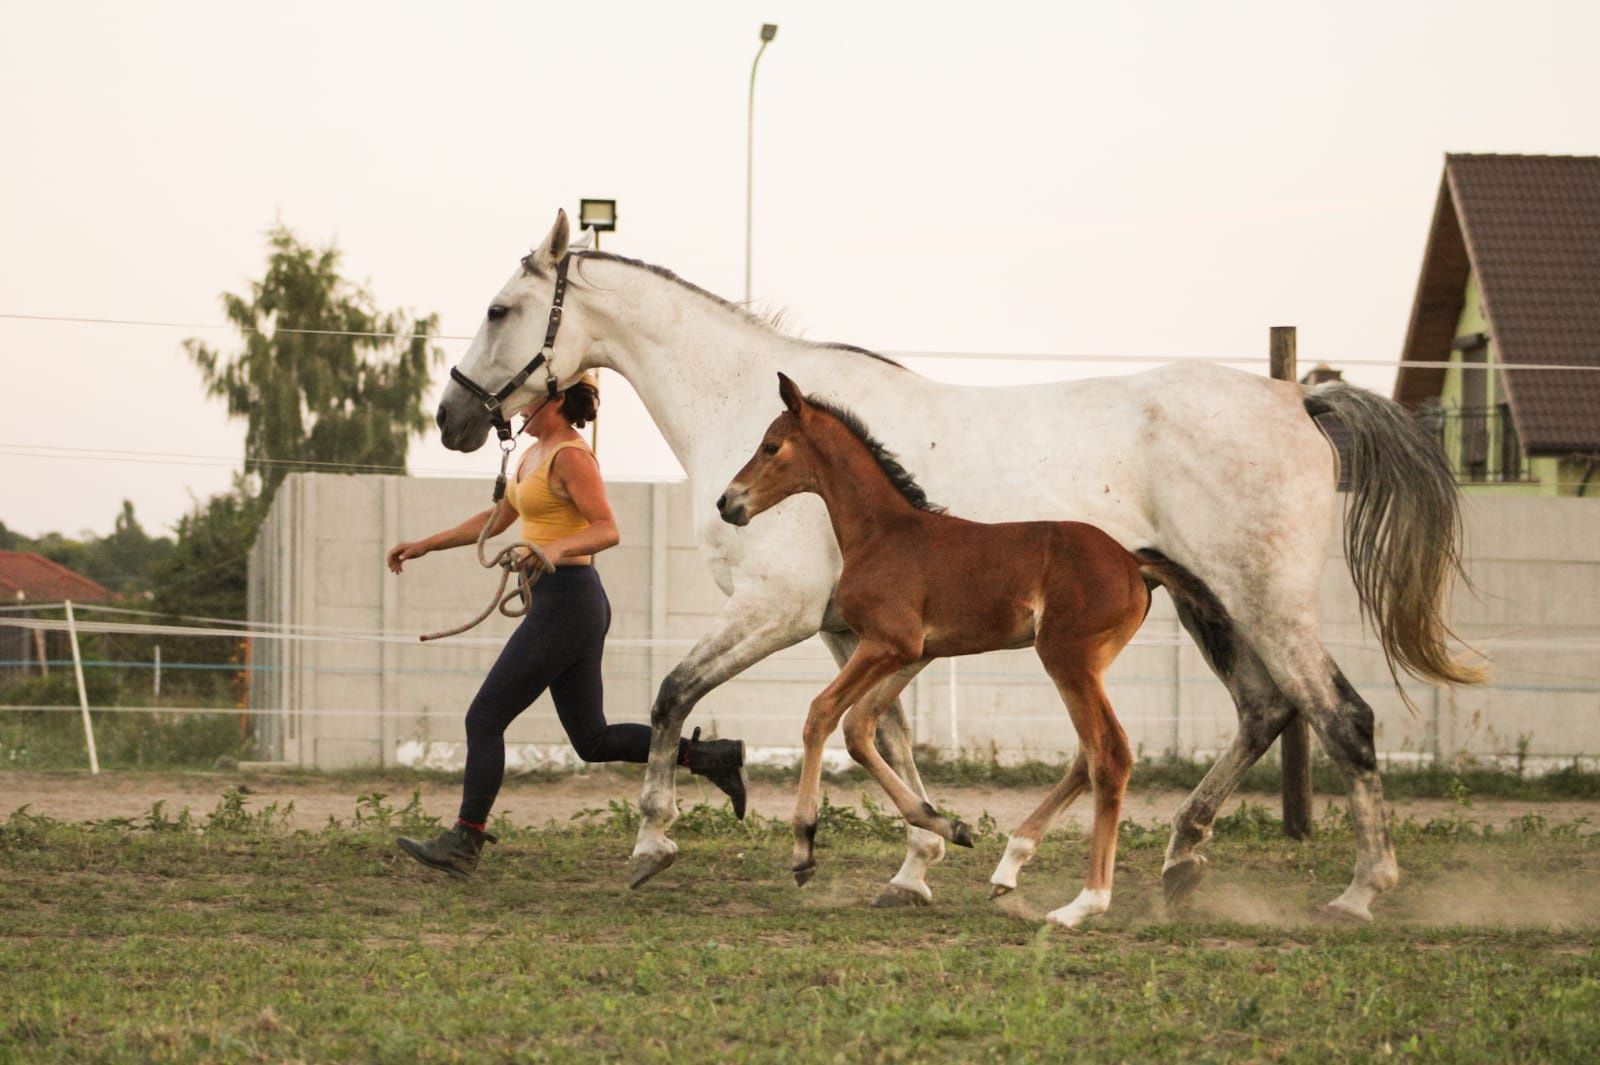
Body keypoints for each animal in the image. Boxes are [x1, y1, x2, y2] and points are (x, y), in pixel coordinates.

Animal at [726, 372, 1190, 921]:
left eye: (771, 446)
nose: (727, 503)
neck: (881, 532)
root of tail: (1132, 563)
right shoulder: (913, 654)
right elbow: (860, 729)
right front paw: (948, 826)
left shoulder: (885, 643)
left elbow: (822, 713)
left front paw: (803, 850)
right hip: (1085, 667)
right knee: (1087, 753)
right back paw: (1009, 870)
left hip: (1066, 660)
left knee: (1109, 754)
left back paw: (1083, 904)